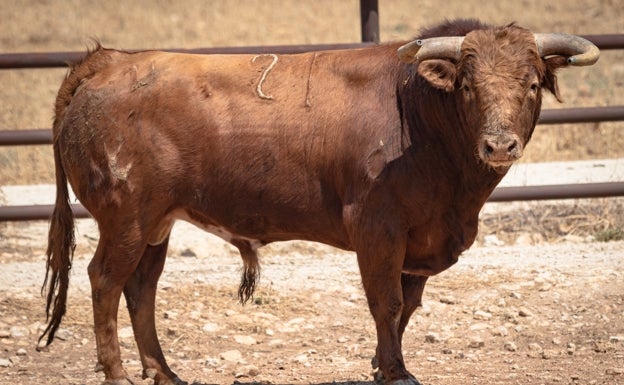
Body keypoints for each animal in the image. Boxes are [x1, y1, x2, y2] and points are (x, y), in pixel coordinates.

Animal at [40, 19, 600, 384]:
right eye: (467, 86)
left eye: (533, 84)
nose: (499, 145)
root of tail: (110, 62)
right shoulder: (378, 228)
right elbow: (386, 301)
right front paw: (395, 372)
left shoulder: (420, 238)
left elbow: (407, 305)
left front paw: (383, 364)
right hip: (127, 218)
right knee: (106, 282)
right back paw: (117, 373)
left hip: (157, 223)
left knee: (141, 289)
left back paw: (165, 372)